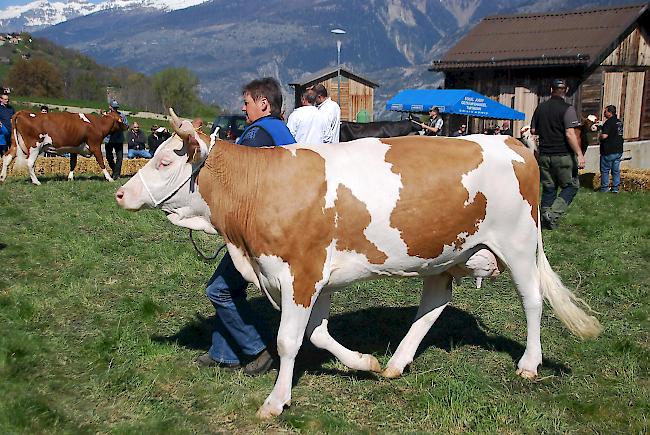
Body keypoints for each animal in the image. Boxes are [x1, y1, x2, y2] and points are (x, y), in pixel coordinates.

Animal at [114, 109, 600, 418]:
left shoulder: (301, 273)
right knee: (434, 305)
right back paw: (396, 363)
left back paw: (530, 364)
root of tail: (508, 139)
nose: (120, 193)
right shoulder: (314, 278)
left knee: (532, 300)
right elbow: (317, 334)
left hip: (518, 243)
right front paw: (363, 363)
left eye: (164, 160)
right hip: (442, 255)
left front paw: (276, 401)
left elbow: (289, 341)